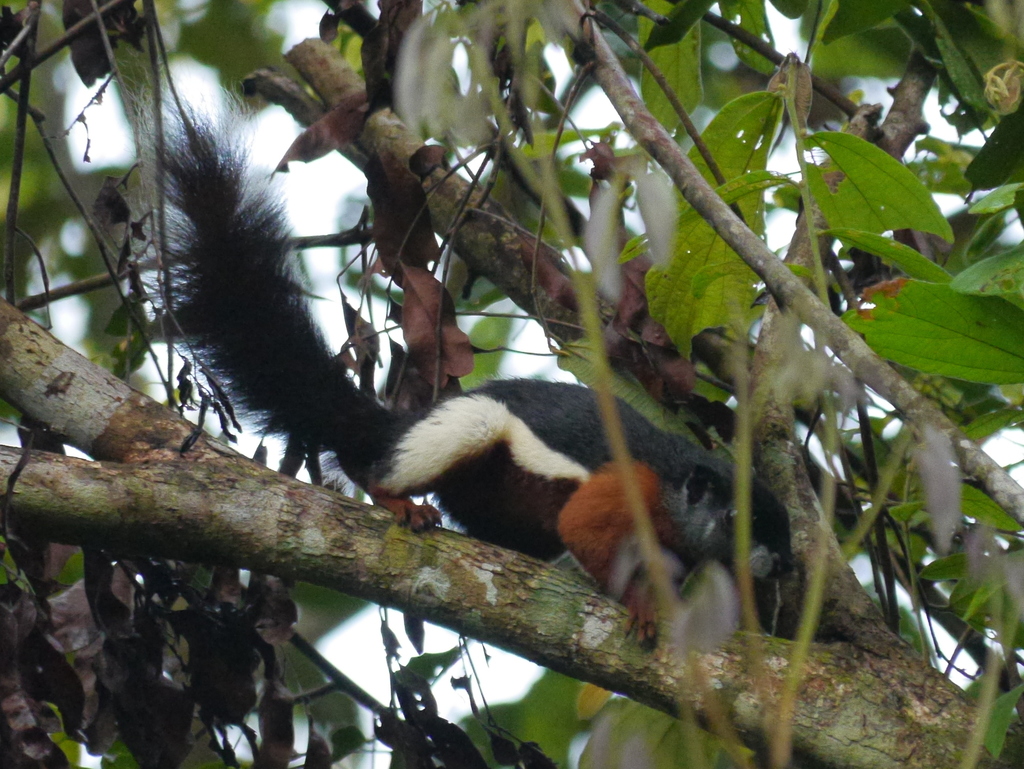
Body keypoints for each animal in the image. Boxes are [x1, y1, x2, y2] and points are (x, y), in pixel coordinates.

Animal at [161, 115, 793, 638]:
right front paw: (641, 604)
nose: (778, 565)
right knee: (388, 464)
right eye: (735, 520)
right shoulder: (625, 487)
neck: (674, 488)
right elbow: (582, 529)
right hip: (468, 429)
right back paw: (394, 497)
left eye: (781, 530)